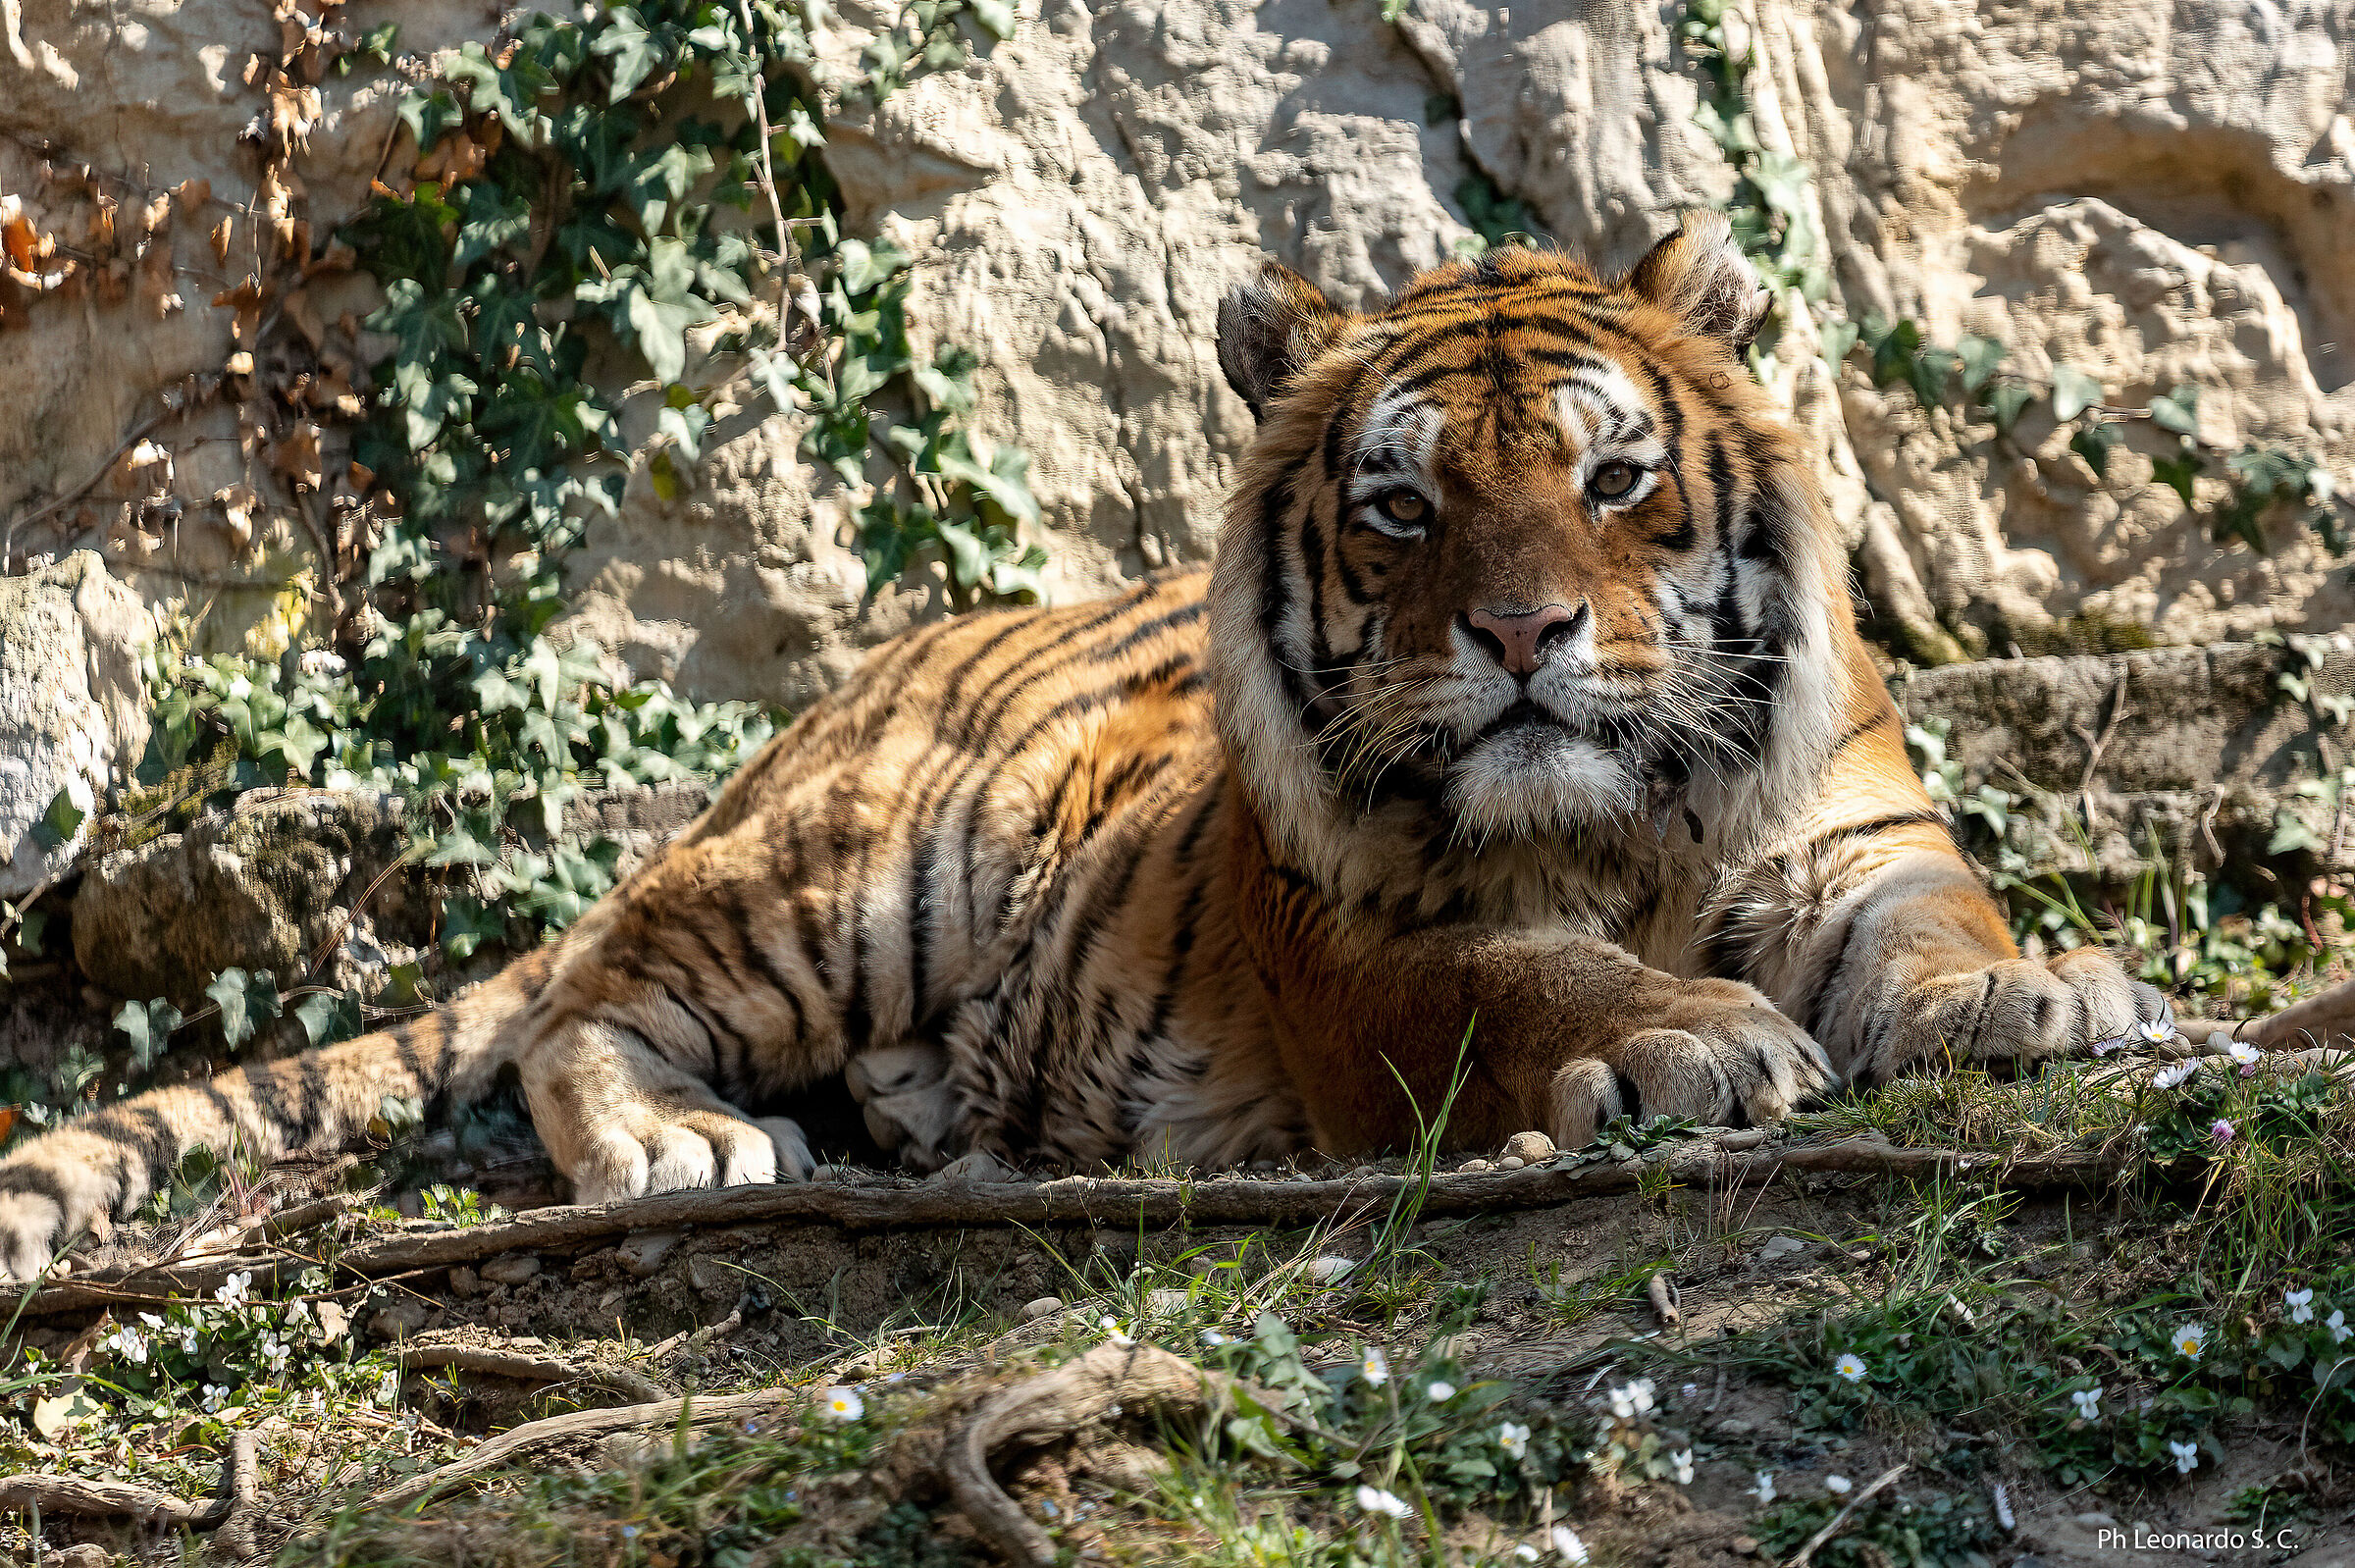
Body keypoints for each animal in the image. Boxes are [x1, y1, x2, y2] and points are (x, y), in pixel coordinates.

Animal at [0, 212, 2173, 1281]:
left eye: (1615, 479)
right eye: (1402, 508)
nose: (1524, 635)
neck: (1623, 823)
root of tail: (817, 713)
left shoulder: (1850, 840)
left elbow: (1933, 930)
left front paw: (2033, 998)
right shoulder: (1362, 939)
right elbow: (1532, 975)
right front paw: (1690, 1036)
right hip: (866, 870)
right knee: (581, 1000)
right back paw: (694, 1137)